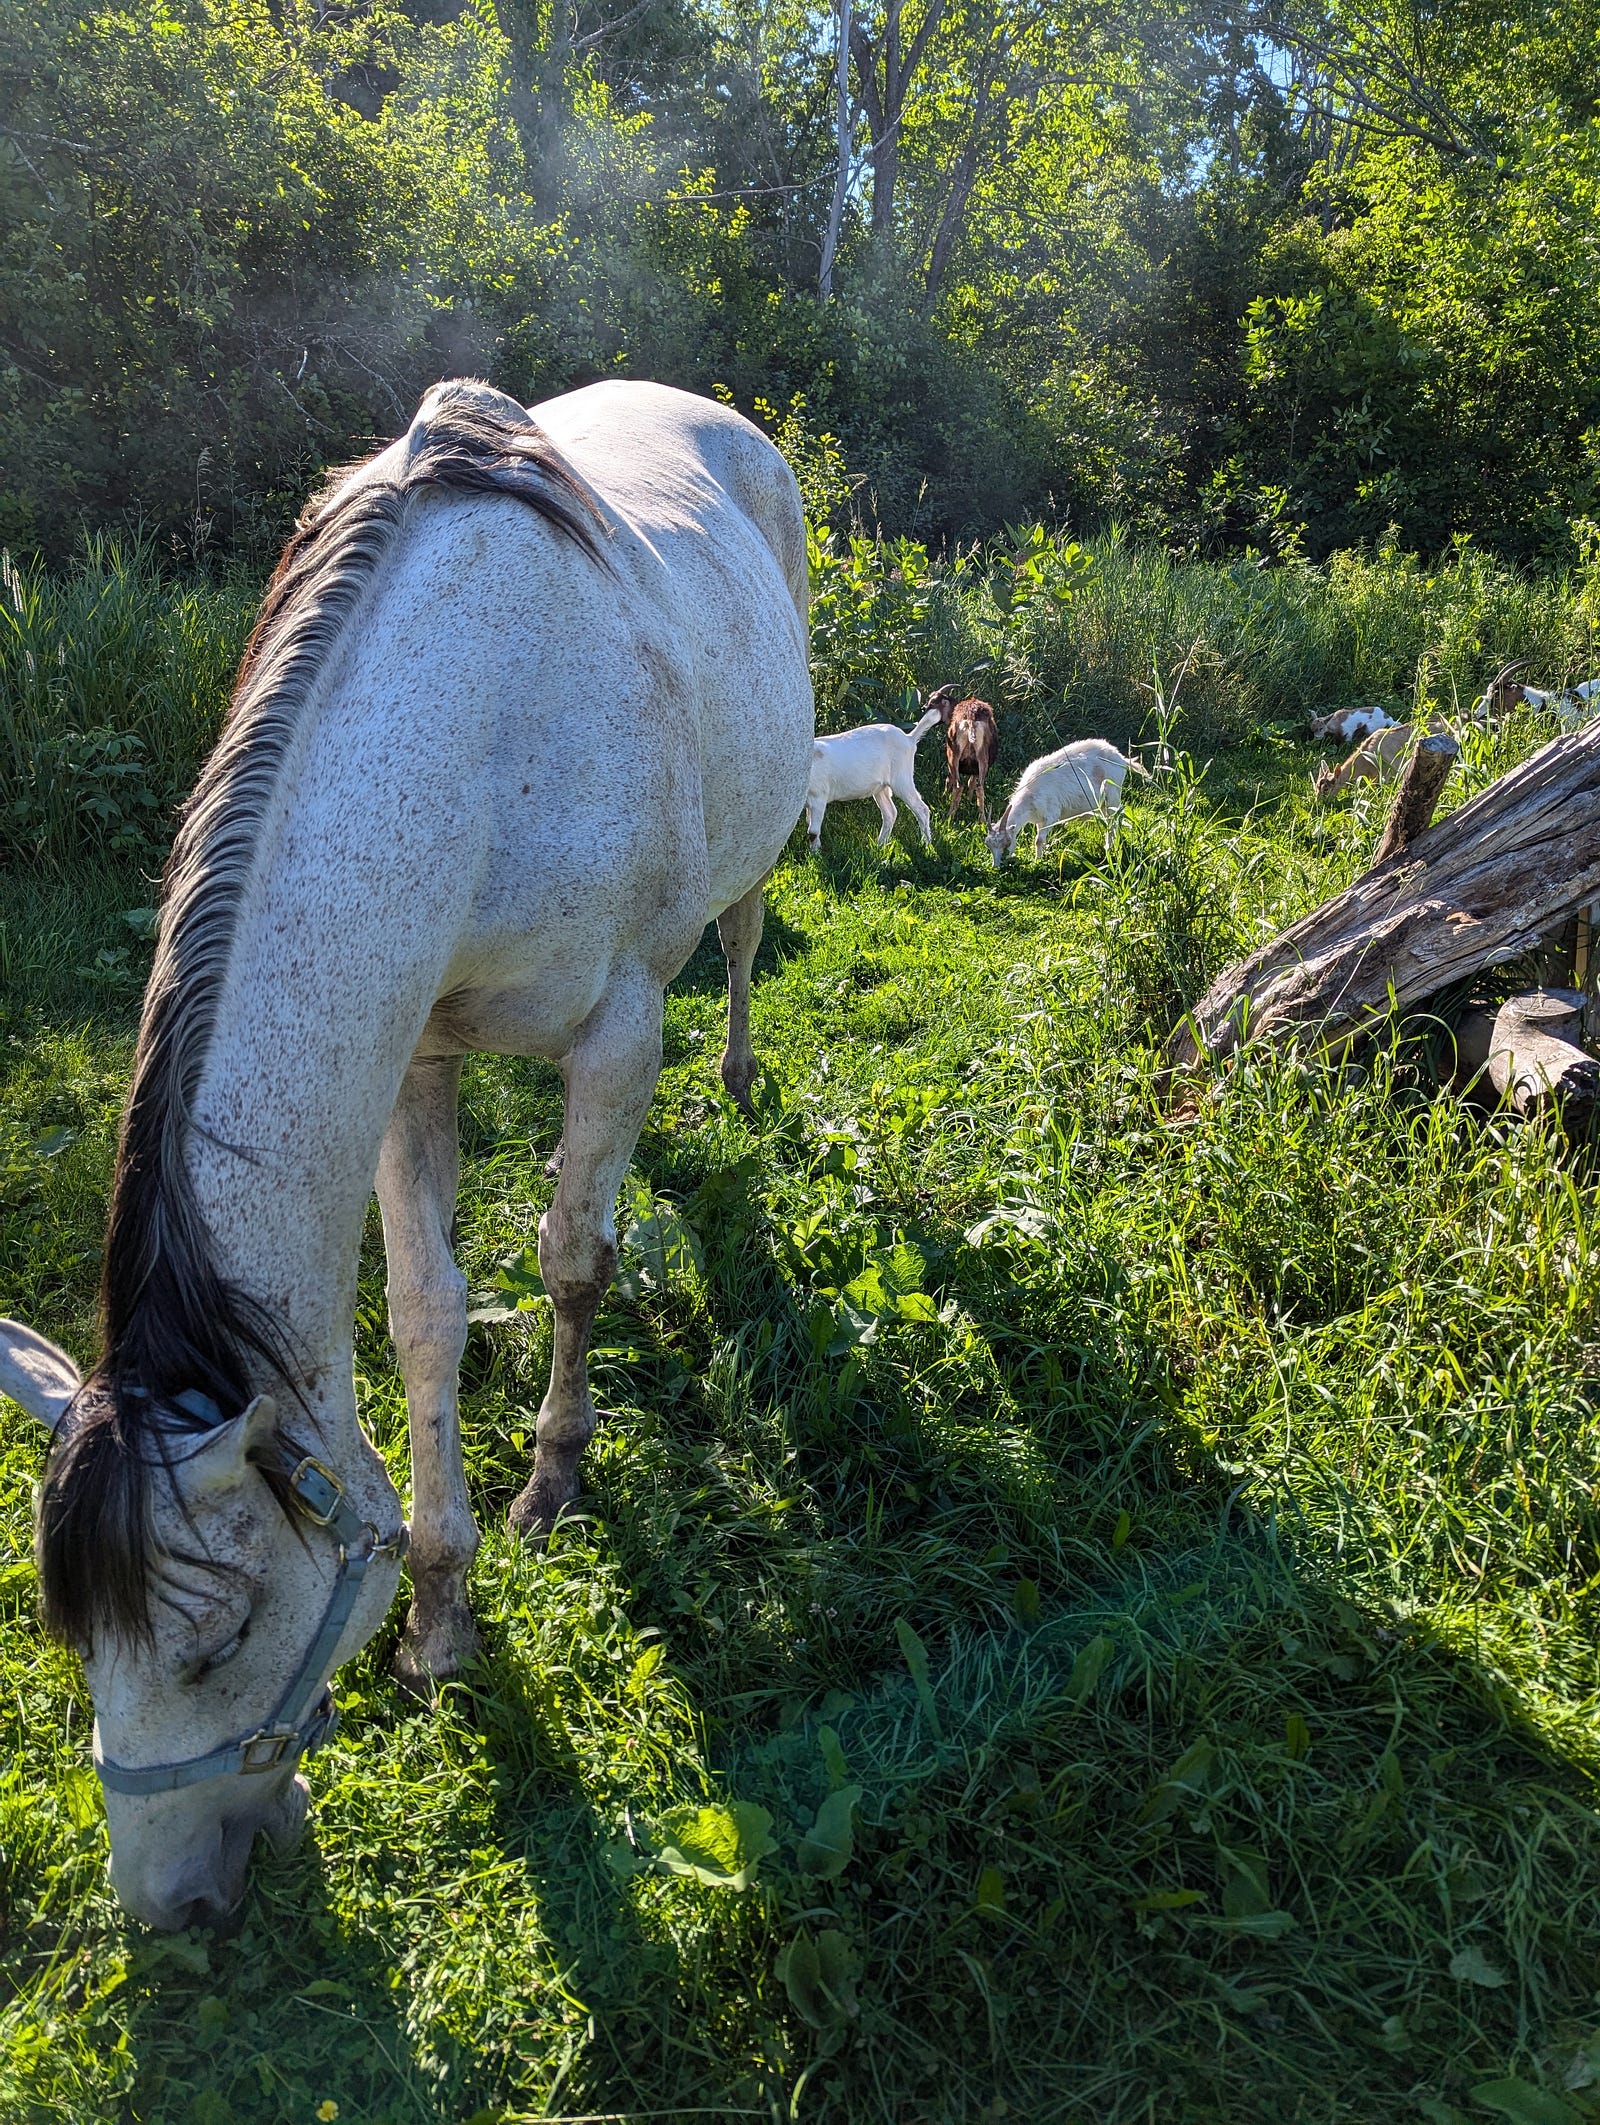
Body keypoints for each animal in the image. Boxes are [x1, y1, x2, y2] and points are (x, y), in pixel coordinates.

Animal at [804, 705, 941, 851]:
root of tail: (909, 738)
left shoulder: (819, 796)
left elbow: (813, 831)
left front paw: (815, 853)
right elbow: (809, 824)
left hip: (902, 778)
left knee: (921, 809)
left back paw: (926, 844)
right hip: (881, 787)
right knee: (890, 812)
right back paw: (880, 844)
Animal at [926, 683, 1000, 823]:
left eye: (932, 702)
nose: (923, 708)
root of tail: (971, 720)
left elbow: (949, 779)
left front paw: (943, 797)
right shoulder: (975, 768)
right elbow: (972, 783)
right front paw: (969, 801)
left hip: (953, 755)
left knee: (958, 785)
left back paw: (949, 818)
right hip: (982, 757)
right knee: (980, 787)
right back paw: (982, 820)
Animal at [986, 738, 1146, 866]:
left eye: (1006, 844)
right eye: (989, 845)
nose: (996, 866)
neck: (1029, 794)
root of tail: (1120, 758)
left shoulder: (1051, 815)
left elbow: (1038, 840)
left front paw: (1037, 862)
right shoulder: (1039, 820)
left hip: (1113, 794)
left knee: (1113, 821)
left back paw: (1110, 848)